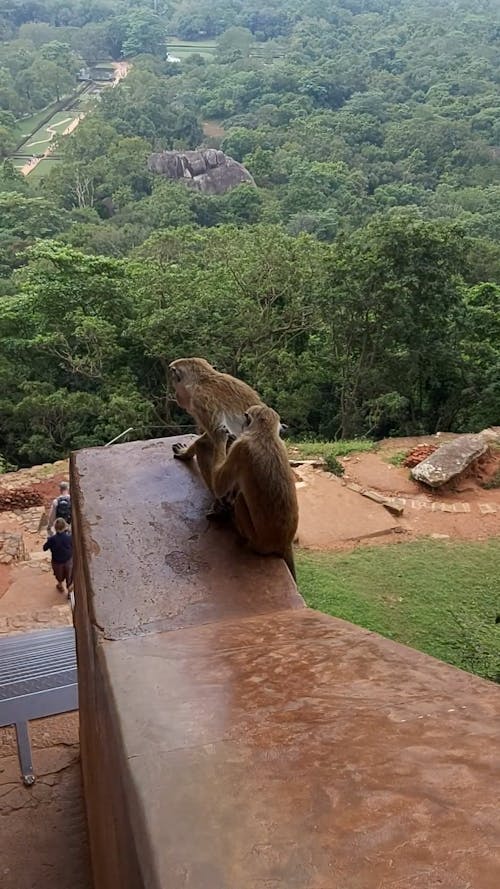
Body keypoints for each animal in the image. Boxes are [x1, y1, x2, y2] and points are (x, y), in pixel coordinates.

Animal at [169, 358, 262, 510]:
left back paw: (220, 502)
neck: (204, 380)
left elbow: (211, 438)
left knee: (204, 446)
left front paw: (186, 453)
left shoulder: (200, 402)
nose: (176, 397)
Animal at [210, 404, 296, 584]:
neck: (265, 435)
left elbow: (220, 486)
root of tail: (284, 542)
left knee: (241, 500)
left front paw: (220, 437)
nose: (242, 423)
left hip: (258, 541)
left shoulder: (240, 447)